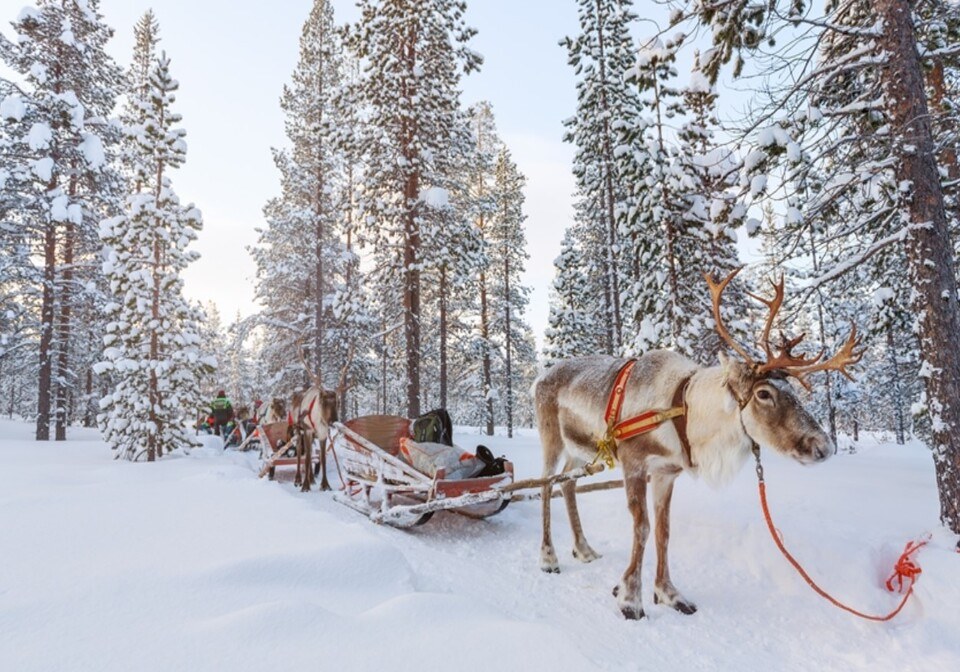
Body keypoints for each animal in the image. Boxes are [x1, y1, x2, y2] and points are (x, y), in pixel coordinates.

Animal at [533, 269, 862, 620]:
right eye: (764, 393)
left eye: (795, 391)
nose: (823, 446)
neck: (684, 411)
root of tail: (538, 379)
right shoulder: (634, 463)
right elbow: (642, 527)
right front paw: (630, 598)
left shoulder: (665, 472)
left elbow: (663, 531)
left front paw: (669, 593)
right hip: (551, 438)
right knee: (545, 484)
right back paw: (549, 558)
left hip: (581, 451)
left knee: (567, 483)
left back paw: (584, 549)